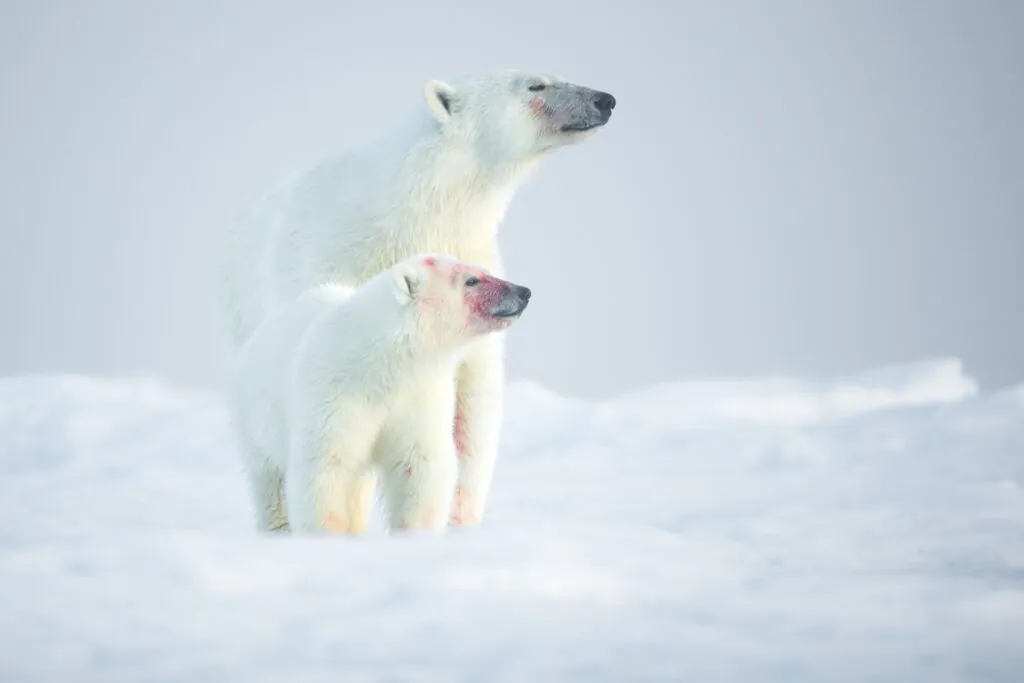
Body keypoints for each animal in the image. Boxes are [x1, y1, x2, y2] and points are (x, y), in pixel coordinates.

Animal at [218, 69, 614, 528]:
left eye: (554, 76)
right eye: (536, 85)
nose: (605, 100)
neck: (419, 210)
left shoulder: (475, 259)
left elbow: (472, 403)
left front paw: (459, 518)